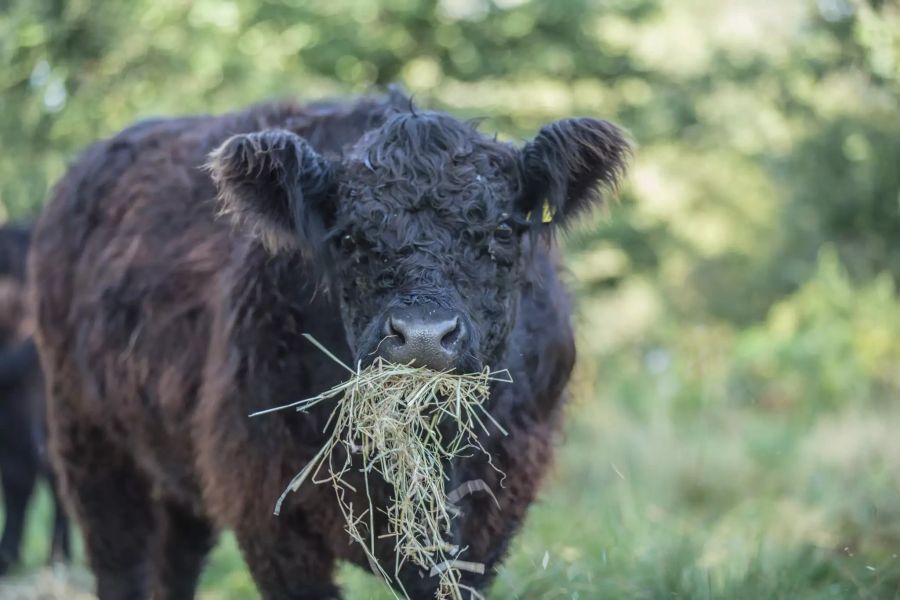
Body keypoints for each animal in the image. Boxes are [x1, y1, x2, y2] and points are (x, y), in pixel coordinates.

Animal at [29, 90, 632, 600]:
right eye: (347, 239)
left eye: (504, 231)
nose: (423, 337)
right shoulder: (269, 512)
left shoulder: (488, 518)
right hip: (88, 442)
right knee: (121, 560)